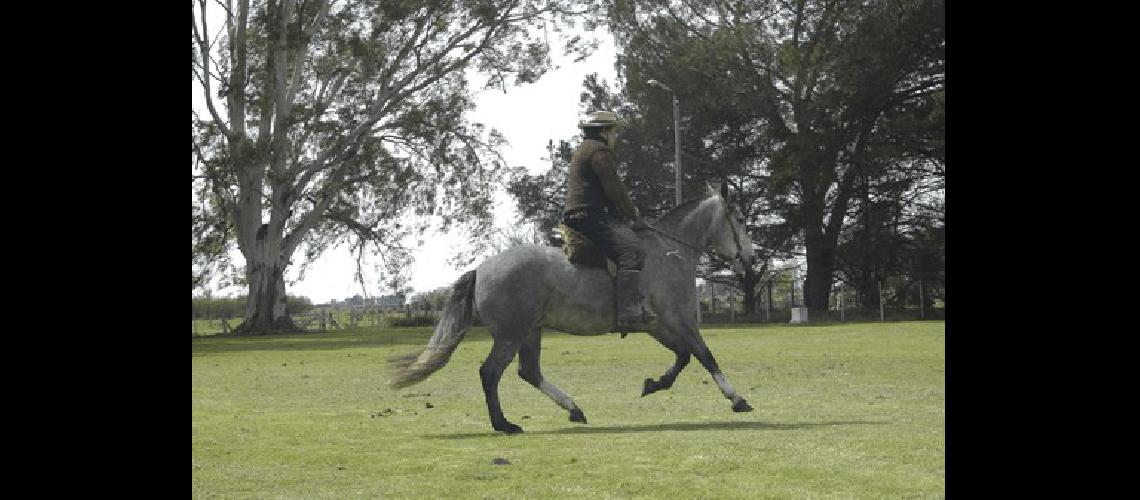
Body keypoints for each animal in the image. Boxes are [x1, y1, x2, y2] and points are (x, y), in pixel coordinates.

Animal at [392, 184, 756, 435]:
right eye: (739, 219)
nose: (750, 259)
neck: (669, 250)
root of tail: (481, 269)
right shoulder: (678, 319)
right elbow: (704, 355)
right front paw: (737, 398)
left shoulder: (659, 326)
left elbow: (683, 356)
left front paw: (654, 384)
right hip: (512, 334)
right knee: (491, 373)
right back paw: (504, 424)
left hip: (531, 331)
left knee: (529, 372)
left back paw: (573, 409)